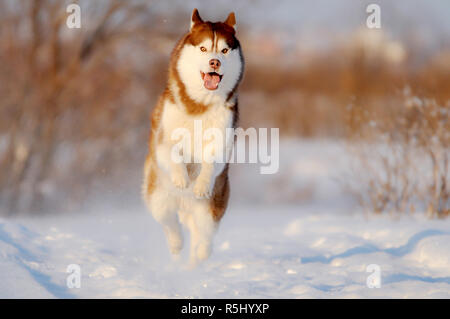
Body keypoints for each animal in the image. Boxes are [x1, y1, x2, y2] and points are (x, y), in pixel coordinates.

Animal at [142, 10, 244, 264]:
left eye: (224, 50)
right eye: (204, 48)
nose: (214, 62)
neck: (200, 105)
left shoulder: (222, 141)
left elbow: (211, 160)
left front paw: (201, 183)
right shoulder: (163, 138)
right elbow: (171, 151)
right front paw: (181, 177)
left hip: (211, 208)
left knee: (204, 236)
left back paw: (199, 256)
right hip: (158, 197)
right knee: (170, 224)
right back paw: (176, 244)